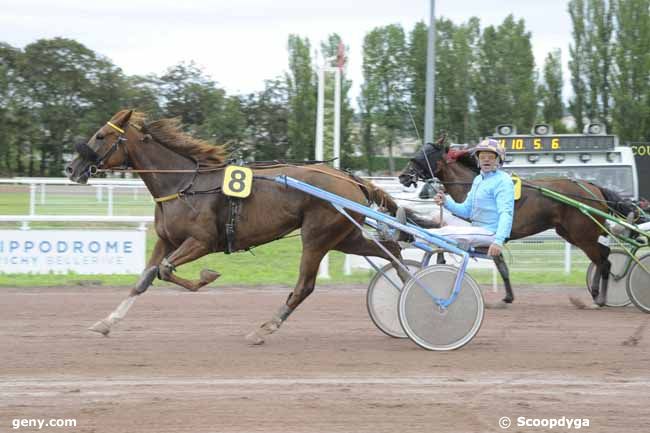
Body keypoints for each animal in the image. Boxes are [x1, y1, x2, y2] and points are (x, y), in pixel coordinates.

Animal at [64, 109, 426, 344]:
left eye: (100, 135)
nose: (71, 167)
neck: (183, 184)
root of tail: (350, 178)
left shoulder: (201, 241)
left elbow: (165, 271)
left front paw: (207, 276)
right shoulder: (166, 240)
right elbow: (145, 278)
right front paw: (106, 322)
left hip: (317, 236)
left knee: (305, 286)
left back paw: (265, 327)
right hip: (344, 235)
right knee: (391, 250)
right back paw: (411, 292)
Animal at [394, 140, 632, 306]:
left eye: (424, 154)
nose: (403, 176)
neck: (471, 188)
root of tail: (595, 188)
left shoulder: (476, 235)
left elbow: (447, 249)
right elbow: (501, 266)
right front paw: (508, 296)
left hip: (582, 235)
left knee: (604, 261)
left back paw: (600, 299)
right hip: (572, 233)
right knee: (604, 255)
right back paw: (596, 292)